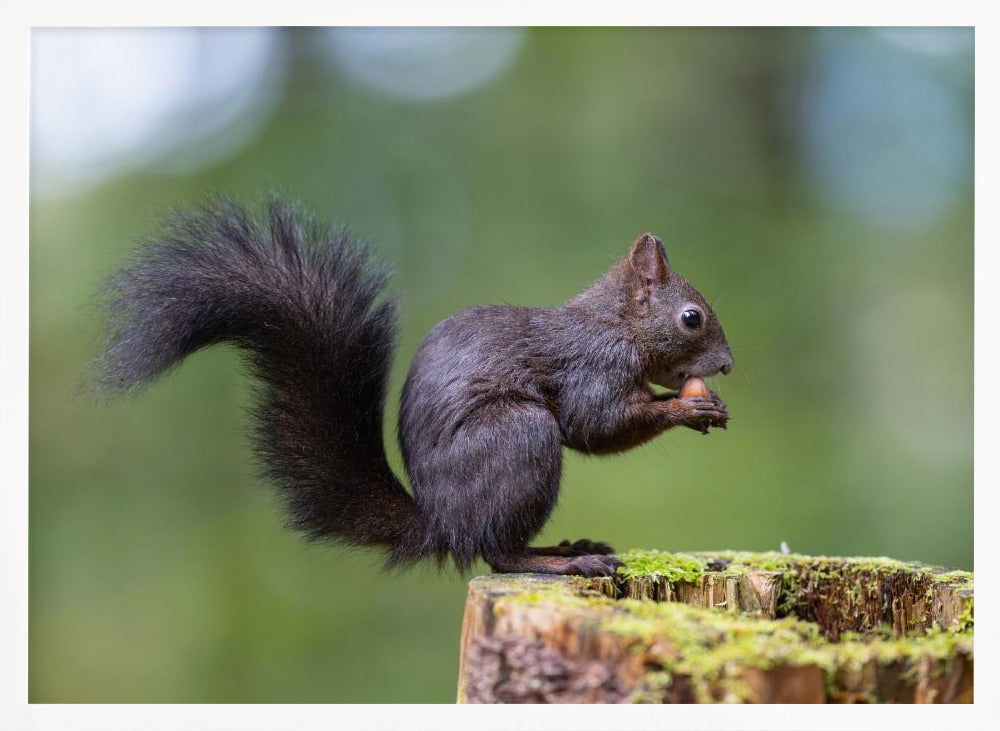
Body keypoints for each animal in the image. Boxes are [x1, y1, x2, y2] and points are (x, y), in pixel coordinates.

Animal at [93, 197, 733, 578]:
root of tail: (442, 523)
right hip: (518, 439)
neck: (615, 323)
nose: (726, 366)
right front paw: (685, 409)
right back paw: (559, 562)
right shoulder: (592, 367)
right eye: (691, 318)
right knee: (496, 554)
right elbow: (596, 426)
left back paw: (569, 549)